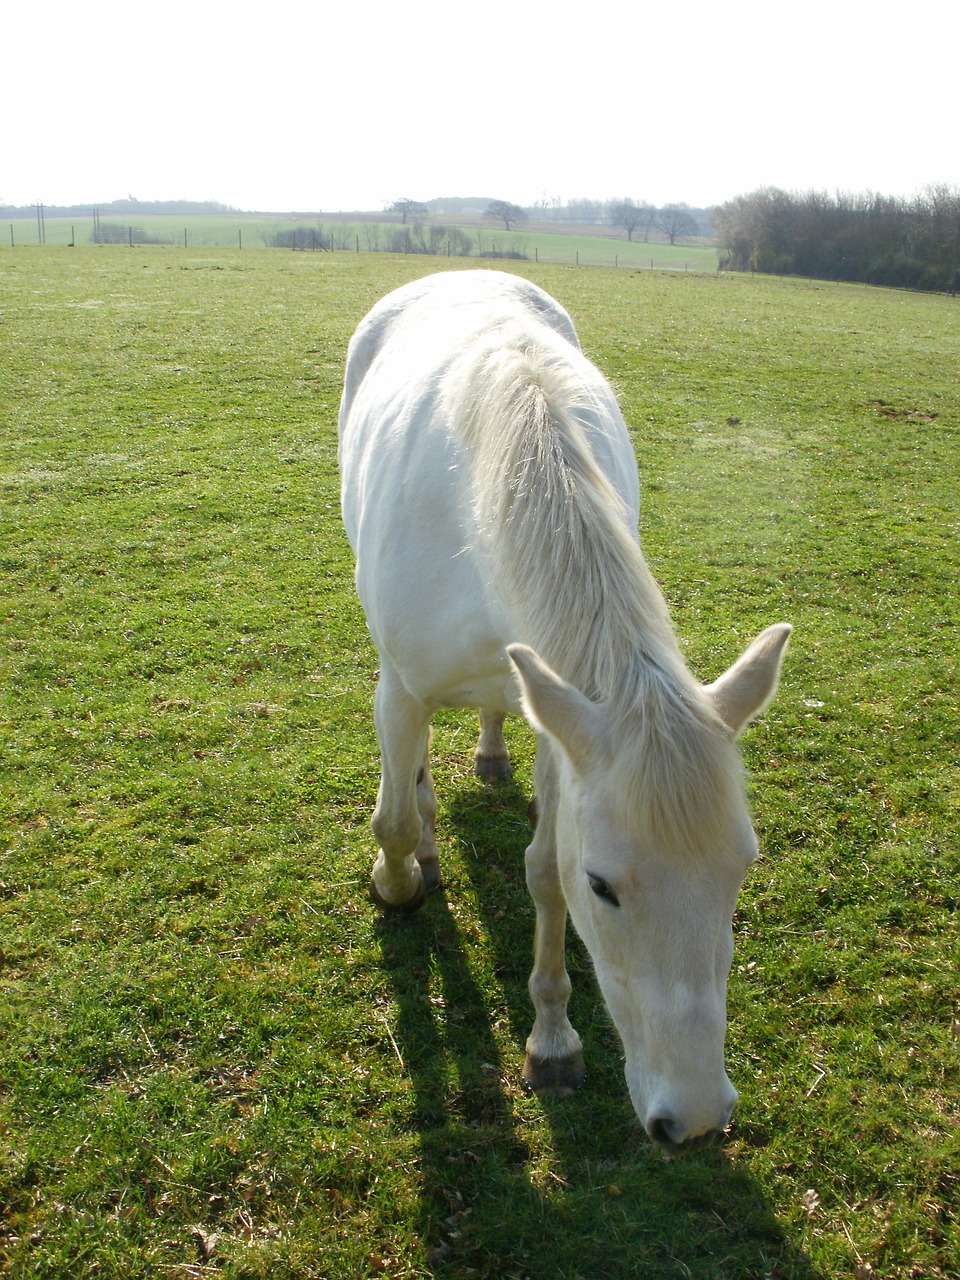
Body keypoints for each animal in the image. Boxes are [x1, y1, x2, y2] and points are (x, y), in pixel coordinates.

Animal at [337, 270, 788, 1152]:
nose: (693, 1118)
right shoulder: (403, 688)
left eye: (742, 869)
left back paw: (488, 755)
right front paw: (397, 880)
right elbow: (395, 821)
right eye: (604, 887)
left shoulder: (564, 726)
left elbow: (542, 870)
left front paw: (551, 1042)